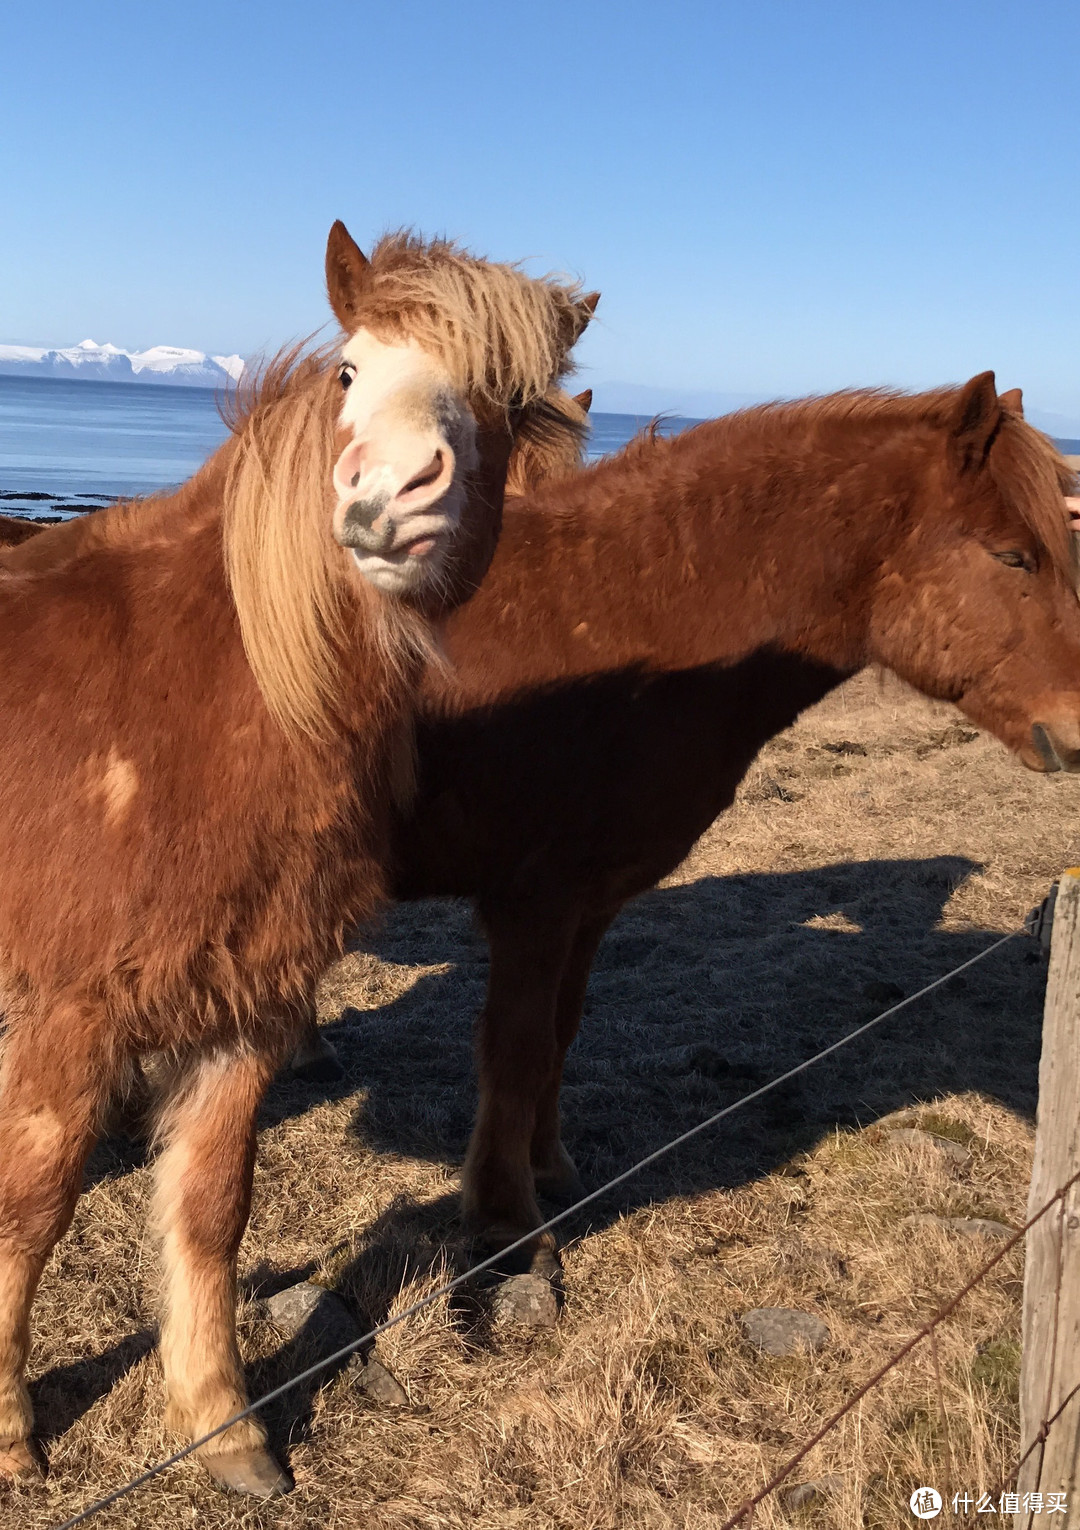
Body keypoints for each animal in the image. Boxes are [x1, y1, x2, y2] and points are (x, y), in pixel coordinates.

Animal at [0, 221, 593, 1487]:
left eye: (501, 397)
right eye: (350, 372)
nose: (389, 495)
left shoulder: (248, 1005)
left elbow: (211, 1210)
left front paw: (222, 1424)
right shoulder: (74, 1014)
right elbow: (35, 1204)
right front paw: (13, 1433)